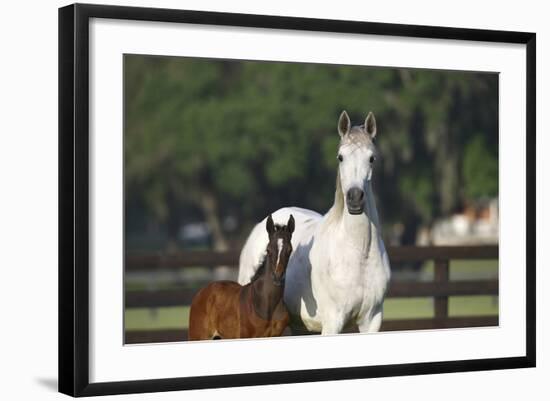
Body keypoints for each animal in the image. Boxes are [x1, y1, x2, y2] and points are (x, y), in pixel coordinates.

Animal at [238, 111, 392, 332]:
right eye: (340, 157)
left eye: (371, 158)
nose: (354, 198)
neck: (358, 253)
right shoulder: (333, 322)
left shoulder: (371, 320)